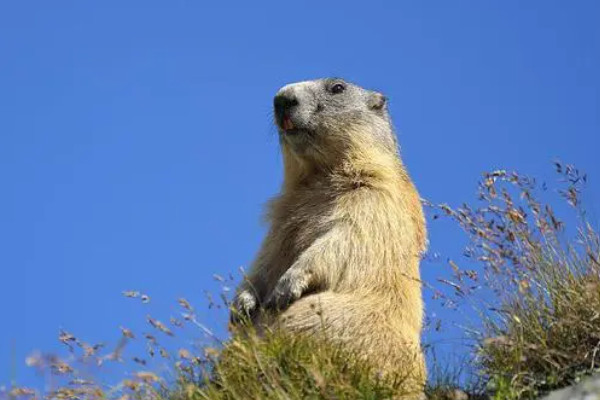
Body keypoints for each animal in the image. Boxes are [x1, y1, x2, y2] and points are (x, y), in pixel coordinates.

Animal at [231, 78, 427, 390]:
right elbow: (268, 255)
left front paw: (286, 285)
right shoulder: (283, 218)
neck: (319, 175)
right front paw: (242, 303)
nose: (281, 98)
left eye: (337, 88)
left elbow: (347, 236)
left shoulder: (373, 196)